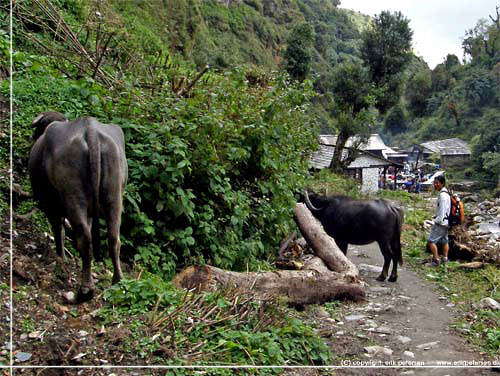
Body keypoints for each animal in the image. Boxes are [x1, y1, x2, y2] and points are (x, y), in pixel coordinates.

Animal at [28, 111, 129, 302]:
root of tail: (91, 131)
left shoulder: (49, 205)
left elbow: (58, 230)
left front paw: (60, 258)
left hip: (74, 196)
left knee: (85, 238)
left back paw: (84, 290)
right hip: (114, 195)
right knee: (114, 238)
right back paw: (118, 281)